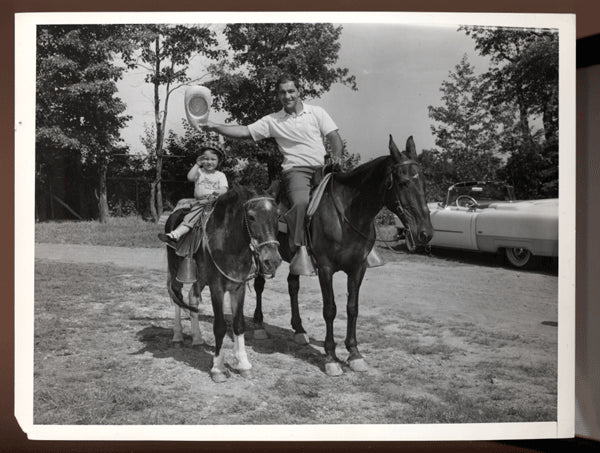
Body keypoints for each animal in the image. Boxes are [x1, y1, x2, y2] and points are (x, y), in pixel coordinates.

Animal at [165, 184, 282, 382]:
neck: (230, 245)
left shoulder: (238, 288)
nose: (271, 261)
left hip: (200, 278)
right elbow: (219, 327)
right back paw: (177, 337)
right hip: (176, 274)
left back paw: (197, 339)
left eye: (277, 216)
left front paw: (244, 365)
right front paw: (218, 369)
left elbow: (239, 325)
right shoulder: (217, 289)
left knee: (192, 298)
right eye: (251, 216)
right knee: (177, 299)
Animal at [252, 135, 432, 374]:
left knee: (293, 286)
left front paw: (354, 353)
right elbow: (330, 309)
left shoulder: (358, 268)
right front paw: (330, 357)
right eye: (403, 182)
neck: (347, 214)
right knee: (259, 285)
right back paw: (259, 326)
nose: (425, 232)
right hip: (263, 255)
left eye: (423, 181)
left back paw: (299, 330)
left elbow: (352, 307)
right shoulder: (325, 268)